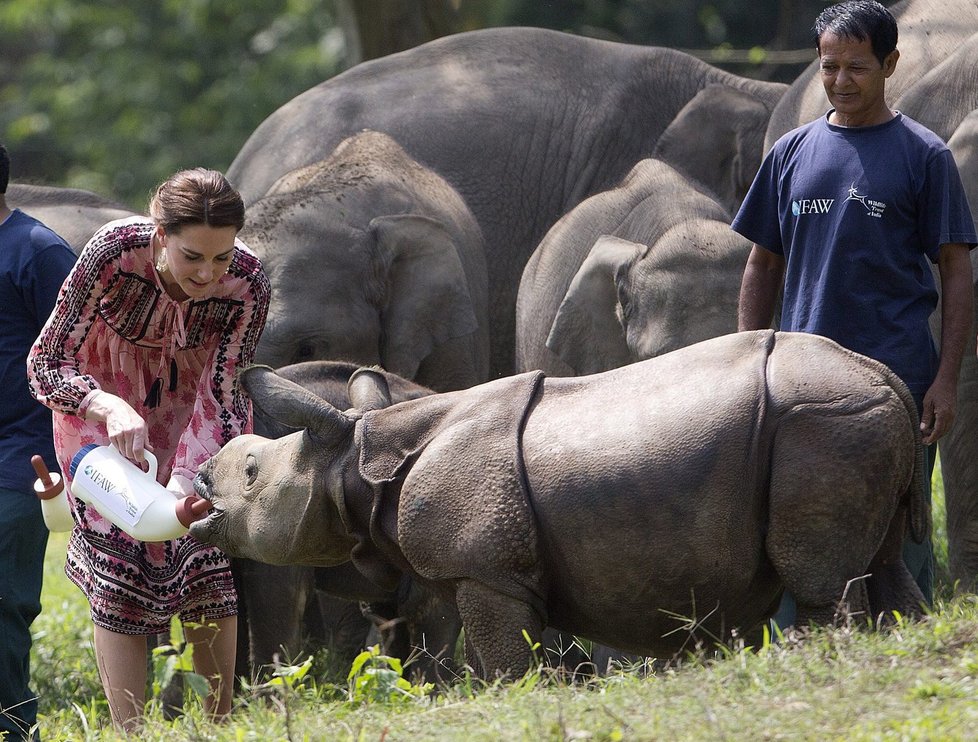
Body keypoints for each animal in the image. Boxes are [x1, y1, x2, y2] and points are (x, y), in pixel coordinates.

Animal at [189, 332, 924, 680]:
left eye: (250, 472)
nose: (199, 478)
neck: (356, 456)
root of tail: (889, 377)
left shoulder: (483, 569)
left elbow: (503, 661)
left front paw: (509, 698)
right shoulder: (482, 568)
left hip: (819, 419)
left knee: (822, 577)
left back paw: (835, 652)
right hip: (851, 418)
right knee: (883, 559)